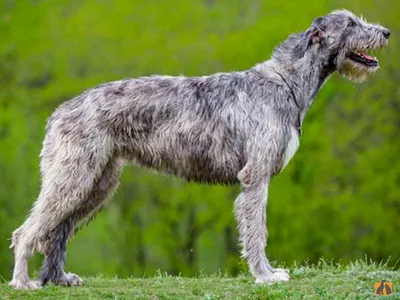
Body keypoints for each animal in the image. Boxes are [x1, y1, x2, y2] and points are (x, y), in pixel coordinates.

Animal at [10, 9, 390, 290]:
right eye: (351, 23)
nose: (386, 32)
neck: (286, 82)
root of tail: (59, 112)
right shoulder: (256, 177)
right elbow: (257, 230)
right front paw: (265, 275)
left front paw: (265, 273)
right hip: (73, 177)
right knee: (26, 231)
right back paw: (23, 282)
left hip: (97, 184)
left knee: (57, 230)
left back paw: (58, 278)